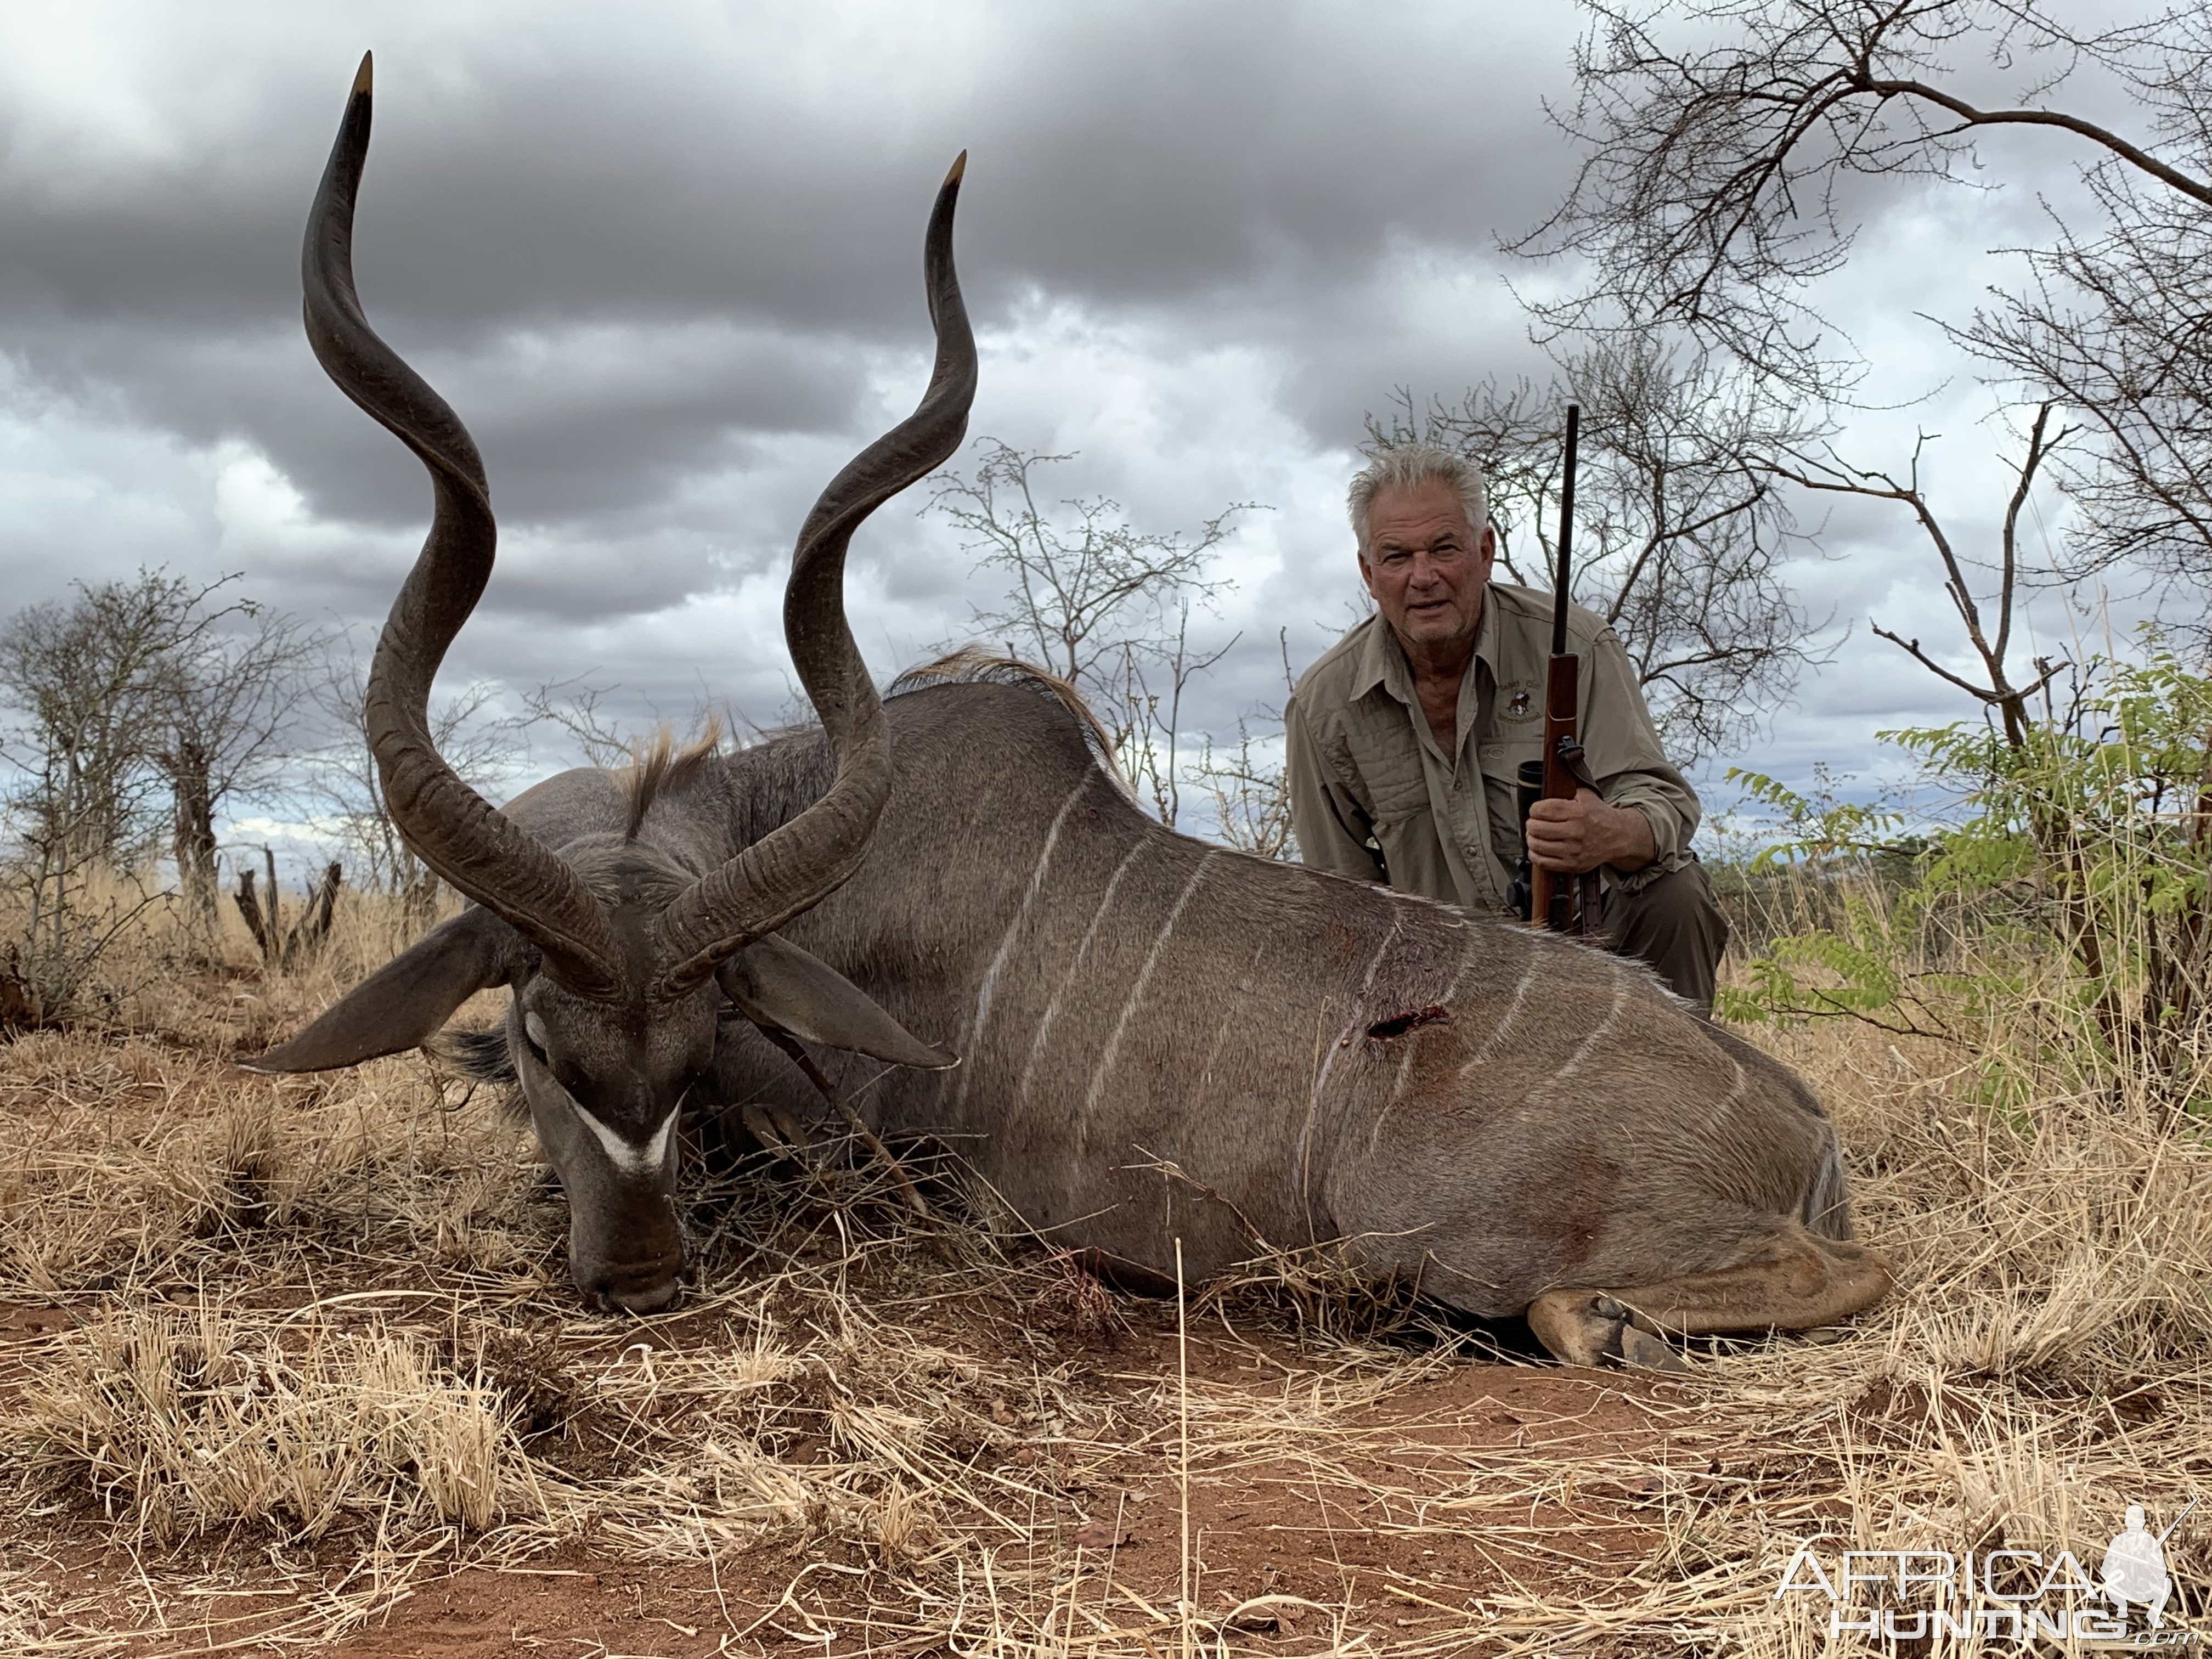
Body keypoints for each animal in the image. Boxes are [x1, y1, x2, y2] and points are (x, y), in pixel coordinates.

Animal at [258, 61, 1884, 1362]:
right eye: (542, 1039)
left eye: (702, 1028)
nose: (641, 1279)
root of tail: (1798, 1121)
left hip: (1444, 1230)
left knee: (1784, 1277)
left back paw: (1595, 1318)